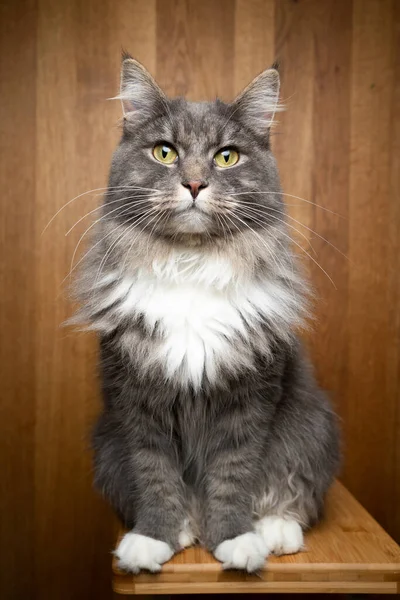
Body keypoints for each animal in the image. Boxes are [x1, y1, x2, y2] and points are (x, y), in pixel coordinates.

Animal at [73, 55, 340, 572]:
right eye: (164, 152)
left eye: (226, 157)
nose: (195, 183)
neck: (191, 266)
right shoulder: (137, 401)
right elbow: (154, 476)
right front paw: (152, 539)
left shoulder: (250, 398)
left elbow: (233, 476)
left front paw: (235, 540)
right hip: (105, 444)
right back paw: (184, 528)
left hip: (311, 428)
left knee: (291, 492)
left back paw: (274, 532)